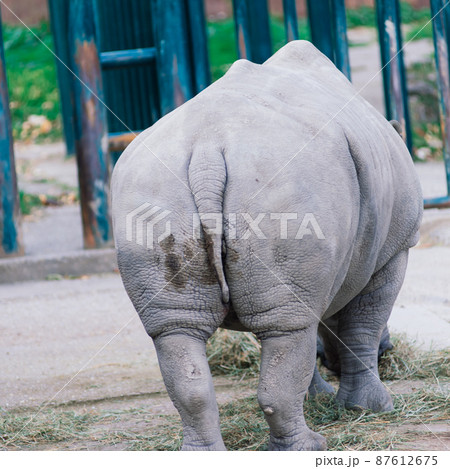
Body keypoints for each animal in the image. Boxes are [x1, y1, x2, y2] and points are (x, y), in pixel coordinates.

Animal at [111, 41, 423, 450]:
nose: (390, 350)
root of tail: (207, 152)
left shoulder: (312, 278)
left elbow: (303, 339)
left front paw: (321, 399)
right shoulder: (394, 250)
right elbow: (363, 326)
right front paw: (369, 409)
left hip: (153, 195)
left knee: (179, 331)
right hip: (286, 187)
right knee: (287, 332)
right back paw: (311, 446)